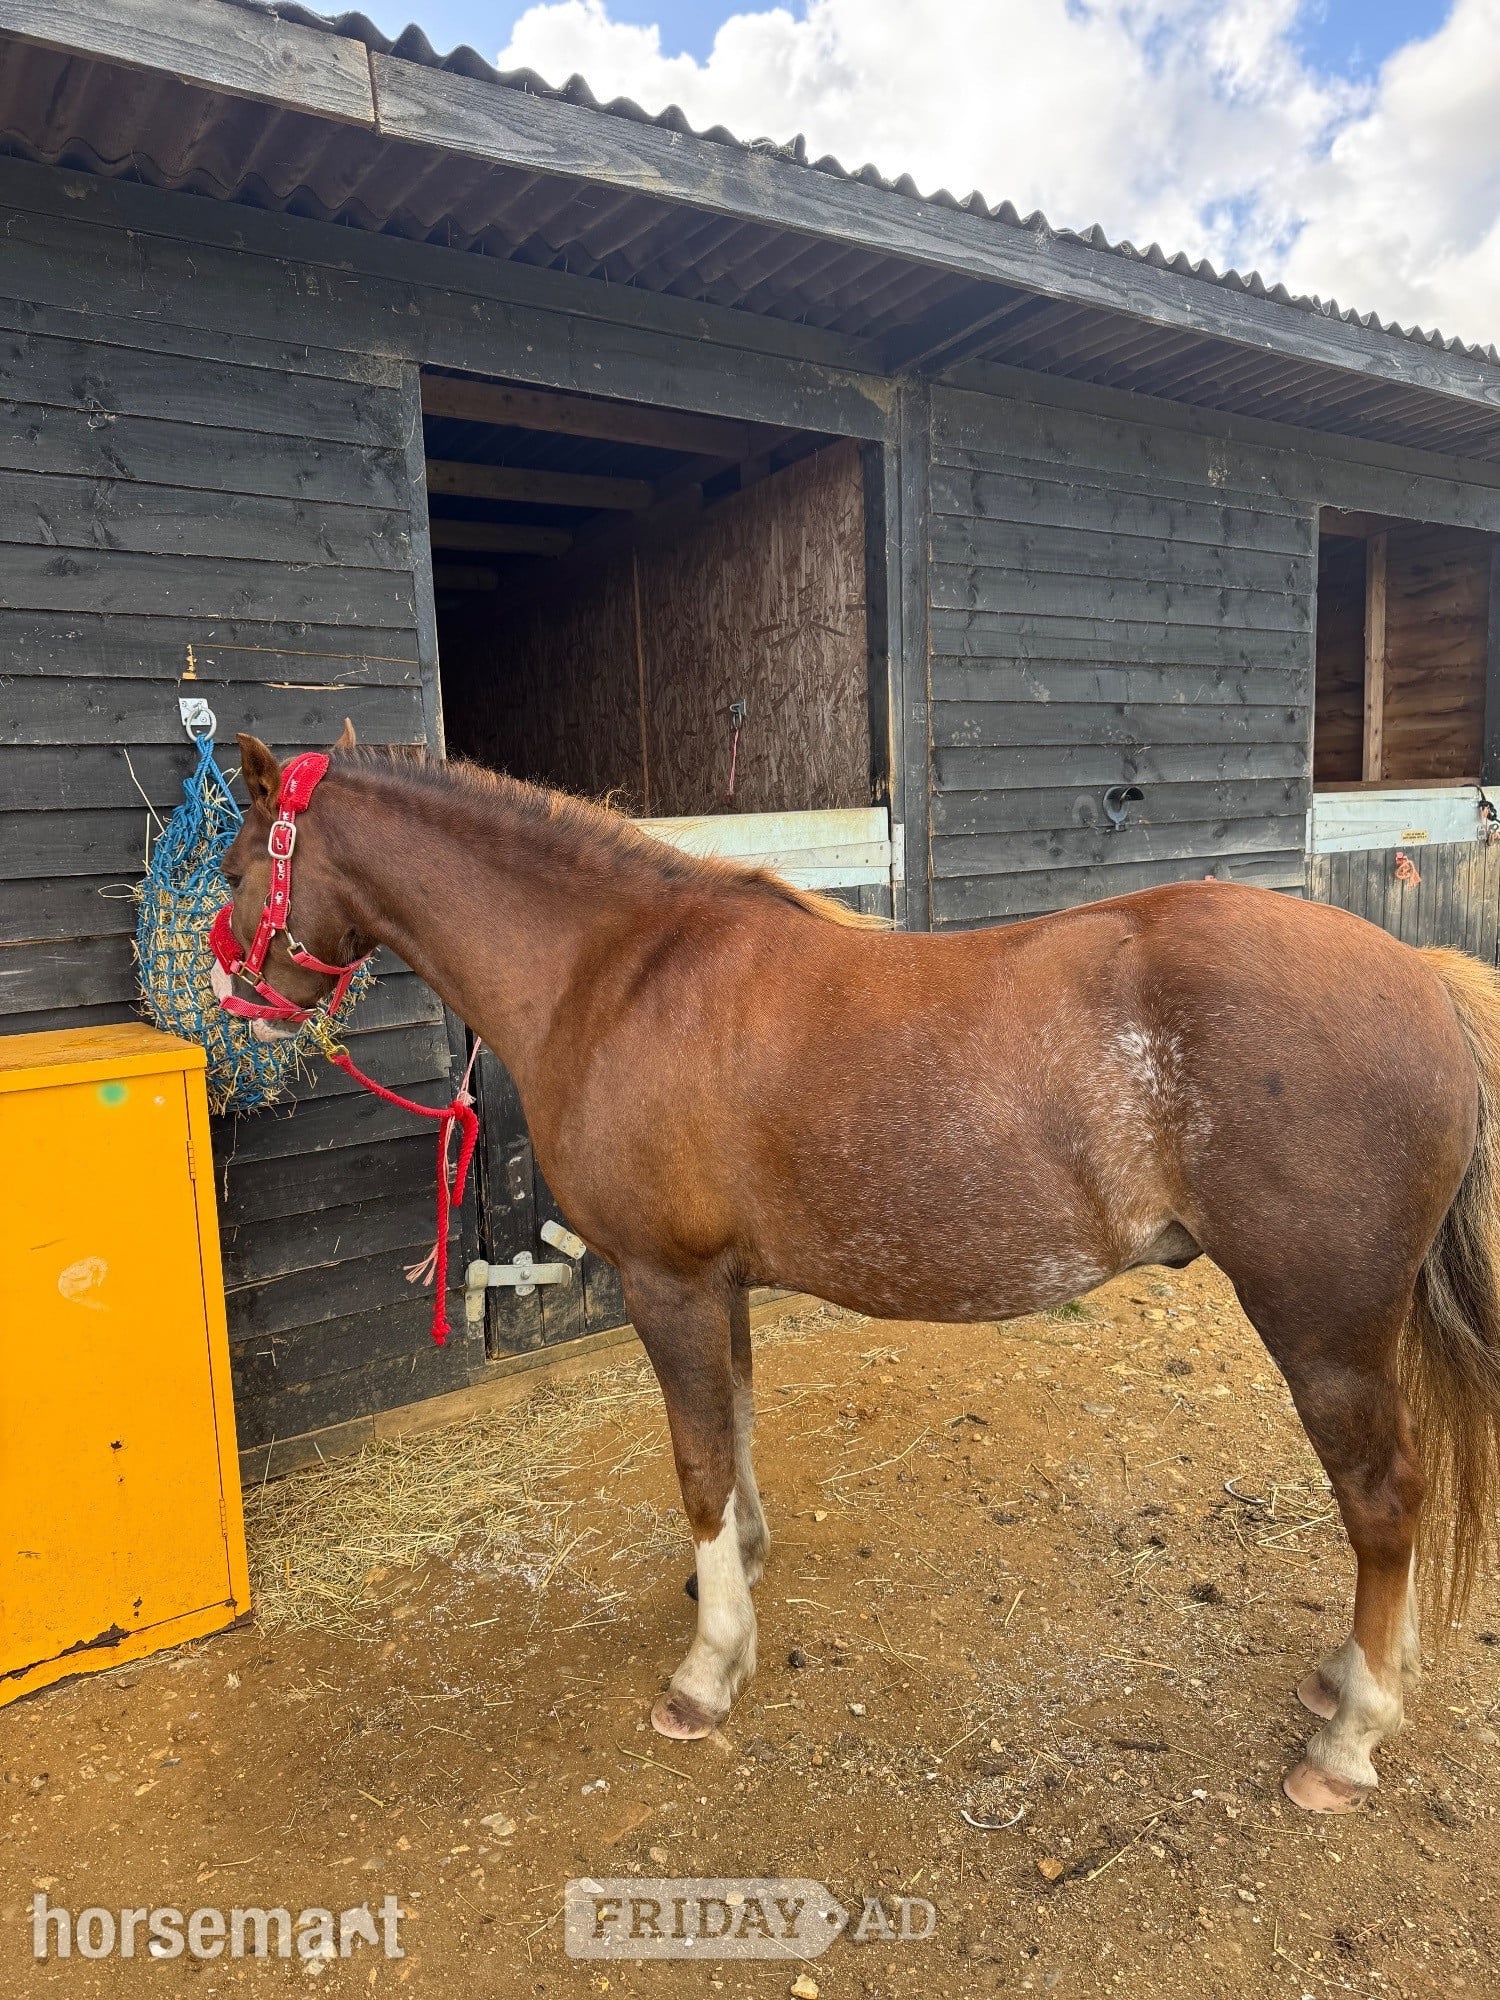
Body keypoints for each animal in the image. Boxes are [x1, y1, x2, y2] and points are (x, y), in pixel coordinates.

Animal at [216, 728, 1500, 1815]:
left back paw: (1347, 1739)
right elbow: (733, 1433)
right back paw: (1348, 1677)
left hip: (1323, 1325)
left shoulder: (666, 1281)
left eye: (231, 867)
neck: (615, 969)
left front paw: (705, 1673)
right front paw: (736, 1577)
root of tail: (1423, 975)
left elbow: (695, 1464)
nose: (238, 1000)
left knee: (1384, 1500)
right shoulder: (718, 1282)